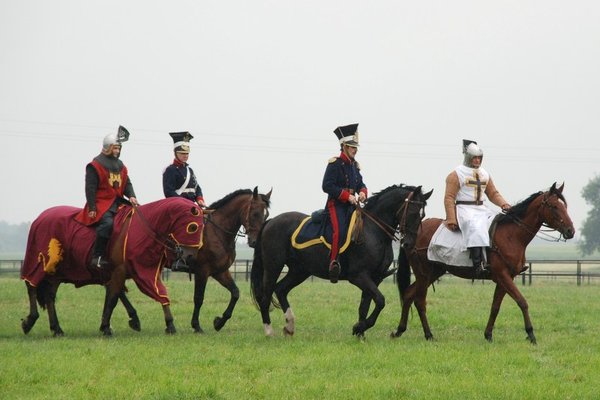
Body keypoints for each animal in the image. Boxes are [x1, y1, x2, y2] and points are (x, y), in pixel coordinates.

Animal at [21, 198, 204, 336]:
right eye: (192, 227)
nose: (190, 257)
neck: (145, 229)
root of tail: (39, 218)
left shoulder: (146, 271)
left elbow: (160, 293)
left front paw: (169, 324)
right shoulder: (119, 271)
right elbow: (113, 298)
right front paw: (107, 327)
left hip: (56, 273)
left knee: (50, 296)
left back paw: (57, 328)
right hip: (41, 263)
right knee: (31, 285)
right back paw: (30, 321)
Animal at [190, 188, 272, 334]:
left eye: (266, 215)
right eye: (255, 213)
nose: (256, 242)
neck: (216, 232)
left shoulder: (220, 272)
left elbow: (235, 293)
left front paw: (219, 322)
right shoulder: (202, 271)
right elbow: (198, 298)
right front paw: (196, 325)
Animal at [250, 184, 432, 338]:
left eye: (422, 215)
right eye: (412, 213)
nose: (409, 244)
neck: (373, 231)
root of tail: (271, 221)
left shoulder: (375, 278)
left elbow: (365, 306)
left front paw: (360, 333)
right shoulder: (359, 276)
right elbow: (380, 301)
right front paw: (359, 328)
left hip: (299, 271)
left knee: (281, 289)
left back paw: (289, 326)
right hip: (273, 267)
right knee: (265, 297)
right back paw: (269, 331)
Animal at [392, 183, 576, 342]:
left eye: (564, 206)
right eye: (554, 206)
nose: (570, 231)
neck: (512, 235)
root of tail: (411, 234)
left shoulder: (504, 279)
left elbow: (495, 307)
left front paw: (488, 335)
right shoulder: (503, 276)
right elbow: (522, 302)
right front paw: (531, 334)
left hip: (435, 272)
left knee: (409, 294)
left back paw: (400, 330)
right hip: (423, 273)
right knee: (419, 300)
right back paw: (428, 334)